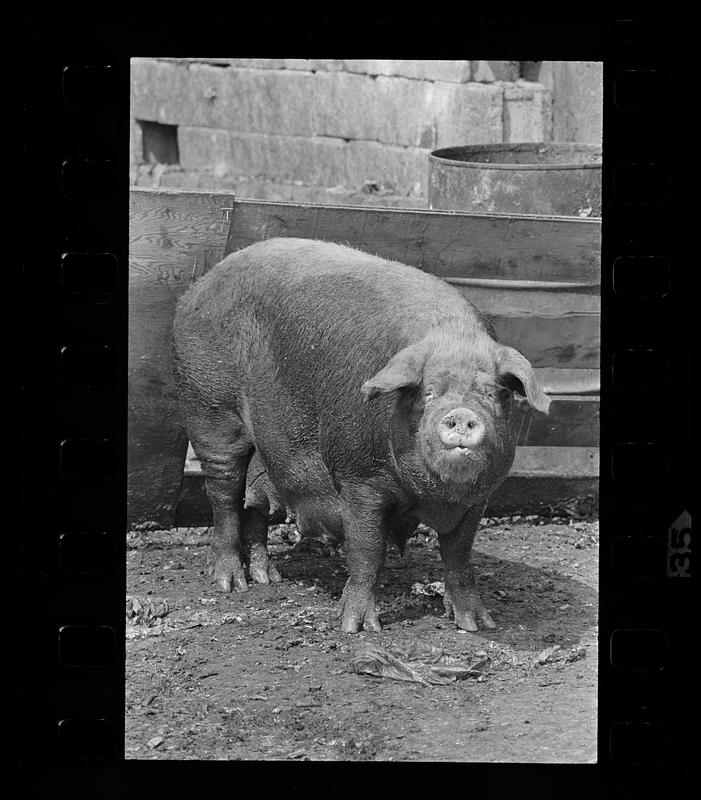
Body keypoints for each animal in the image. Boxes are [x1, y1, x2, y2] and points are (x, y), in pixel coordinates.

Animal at [172, 238, 548, 632]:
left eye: (492, 394)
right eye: (428, 392)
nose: (461, 413)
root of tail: (199, 286)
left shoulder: (479, 497)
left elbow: (460, 554)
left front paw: (478, 624)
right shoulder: (359, 479)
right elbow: (367, 550)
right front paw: (358, 628)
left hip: (268, 453)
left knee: (257, 506)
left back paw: (267, 578)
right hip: (208, 408)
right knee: (224, 495)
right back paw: (231, 583)